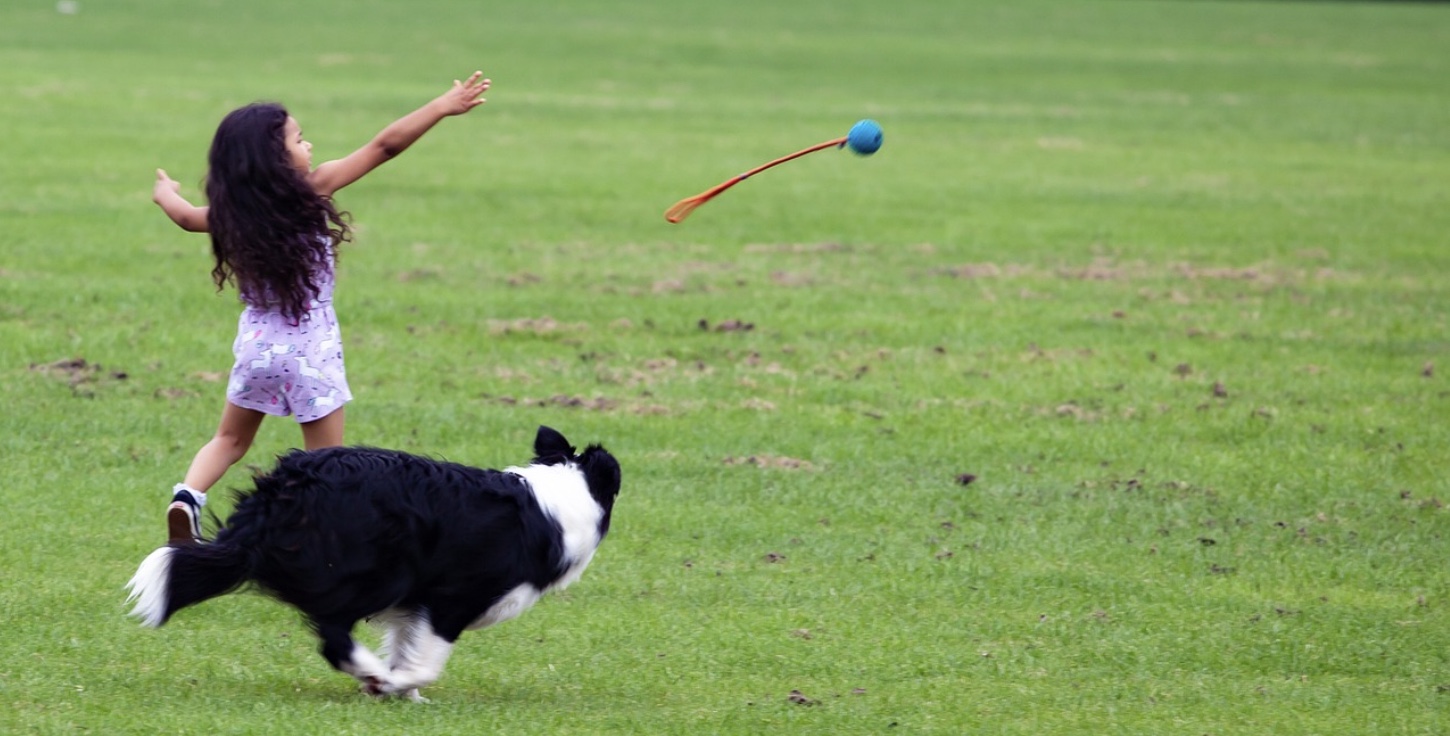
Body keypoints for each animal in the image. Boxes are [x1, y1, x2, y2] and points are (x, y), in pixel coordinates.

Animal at [124, 425, 617, 701]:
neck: (559, 497)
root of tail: (284, 489)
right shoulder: (453, 596)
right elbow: (428, 660)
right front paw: (395, 683)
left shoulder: (415, 603)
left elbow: (405, 643)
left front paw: (404, 694)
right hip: (377, 572)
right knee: (332, 635)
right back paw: (372, 672)